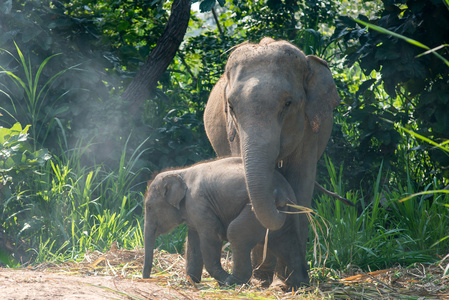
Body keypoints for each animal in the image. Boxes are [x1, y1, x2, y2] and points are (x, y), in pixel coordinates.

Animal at [143, 156, 304, 288]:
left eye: (149, 206)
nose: (147, 278)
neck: (180, 172)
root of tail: (283, 190)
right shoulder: (193, 212)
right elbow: (193, 242)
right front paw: (190, 282)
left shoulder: (199, 204)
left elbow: (211, 236)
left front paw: (222, 280)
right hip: (288, 215)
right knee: (289, 244)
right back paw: (299, 286)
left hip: (255, 213)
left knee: (236, 232)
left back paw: (233, 282)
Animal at [201, 37, 338, 284]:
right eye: (231, 106)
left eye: (288, 103)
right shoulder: (233, 132)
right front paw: (262, 278)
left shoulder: (310, 130)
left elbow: (300, 184)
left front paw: (293, 281)